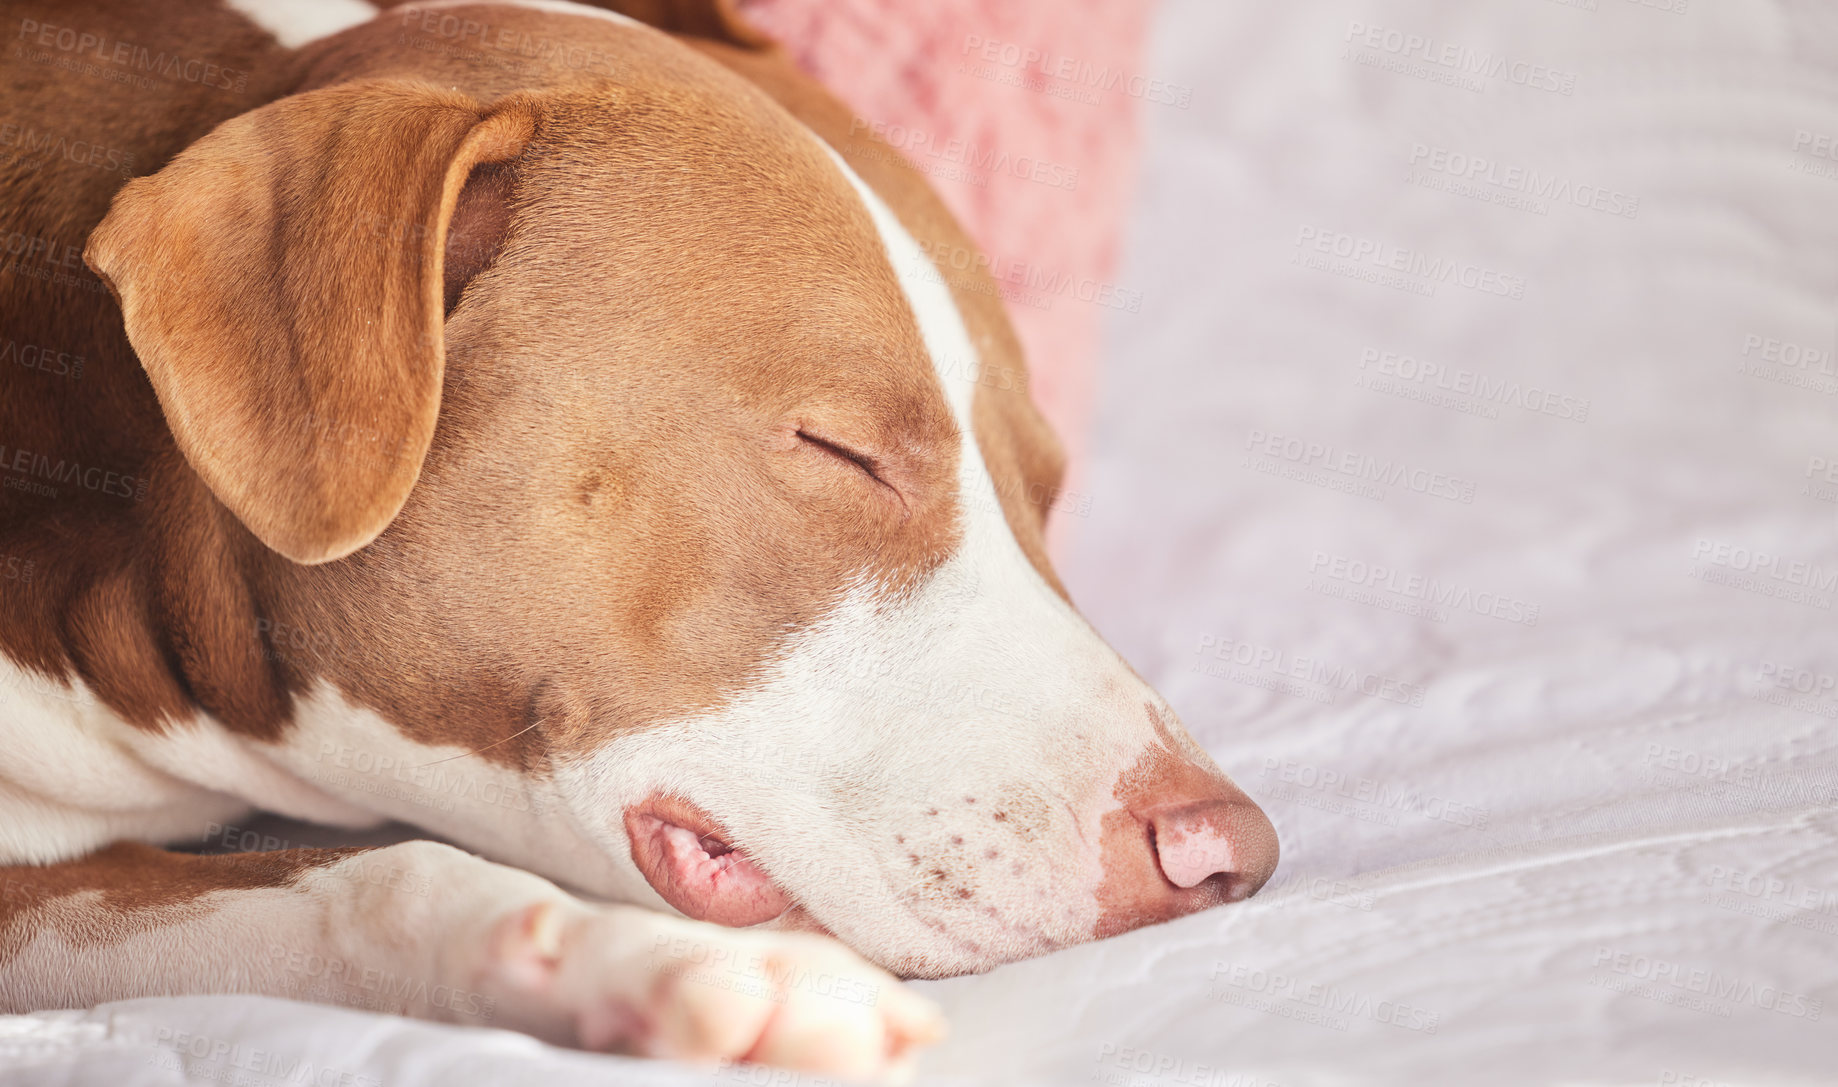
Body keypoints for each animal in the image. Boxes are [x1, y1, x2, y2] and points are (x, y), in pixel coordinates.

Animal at [0, 0, 1279, 1081]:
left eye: (1045, 492)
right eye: (839, 449)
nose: (1230, 849)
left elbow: (329, 892)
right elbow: (390, 870)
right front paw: (700, 969)